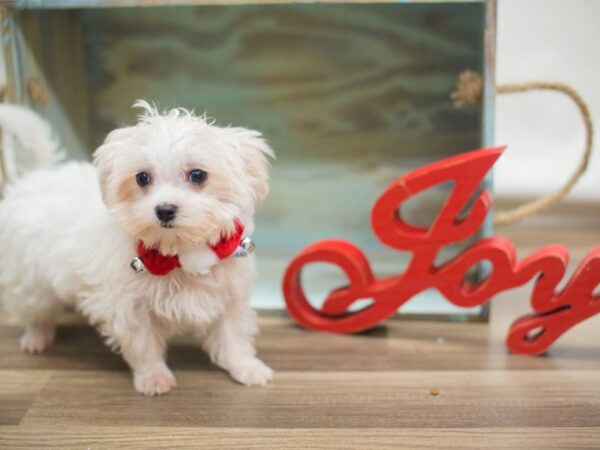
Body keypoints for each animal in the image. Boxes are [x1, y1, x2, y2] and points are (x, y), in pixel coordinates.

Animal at [0, 101, 276, 394]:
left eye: (198, 175)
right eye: (142, 178)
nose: (164, 209)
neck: (177, 254)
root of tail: (39, 175)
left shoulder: (231, 296)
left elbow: (233, 336)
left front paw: (246, 367)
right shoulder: (130, 307)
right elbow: (144, 345)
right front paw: (153, 377)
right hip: (30, 280)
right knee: (35, 310)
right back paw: (36, 337)